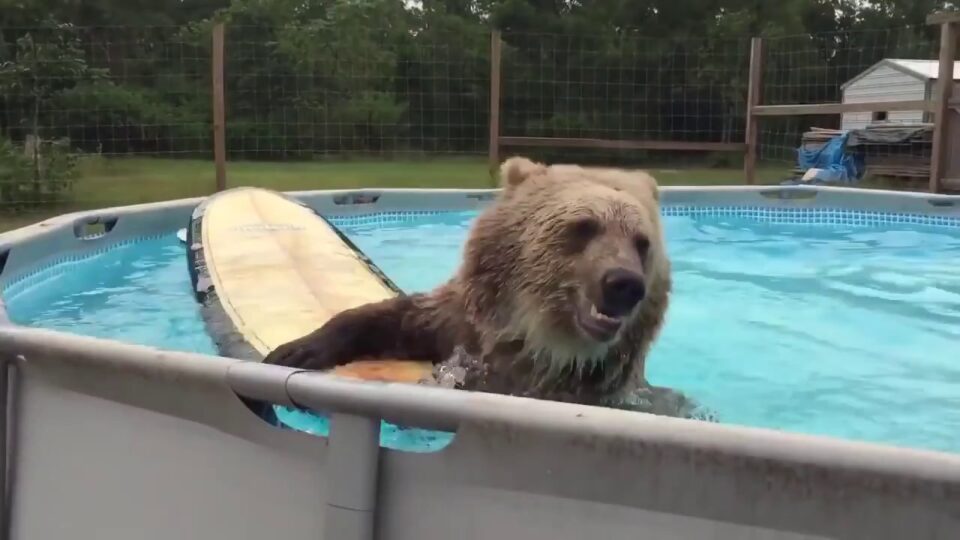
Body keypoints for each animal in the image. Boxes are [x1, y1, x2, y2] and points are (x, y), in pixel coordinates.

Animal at [262, 156, 692, 418]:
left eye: (641, 242)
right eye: (584, 227)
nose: (624, 284)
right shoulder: (460, 326)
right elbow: (394, 319)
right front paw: (294, 350)